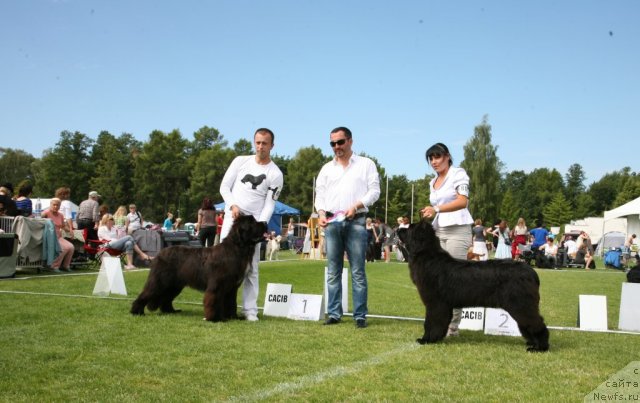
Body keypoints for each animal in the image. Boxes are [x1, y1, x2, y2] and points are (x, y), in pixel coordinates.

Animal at [131, 216, 266, 324]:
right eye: (252, 222)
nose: (265, 222)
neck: (237, 248)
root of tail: (159, 253)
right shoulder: (217, 286)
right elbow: (214, 301)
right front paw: (215, 319)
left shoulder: (231, 287)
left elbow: (231, 303)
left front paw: (233, 317)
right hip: (160, 281)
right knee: (146, 293)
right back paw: (136, 311)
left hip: (174, 285)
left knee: (166, 298)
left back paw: (171, 311)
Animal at [398, 219, 548, 352]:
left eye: (409, 228)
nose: (398, 229)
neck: (427, 255)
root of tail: (530, 271)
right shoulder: (444, 305)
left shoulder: (435, 303)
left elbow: (430, 322)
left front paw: (426, 340)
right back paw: (533, 343)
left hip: (521, 304)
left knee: (537, 323)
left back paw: (540, 348)